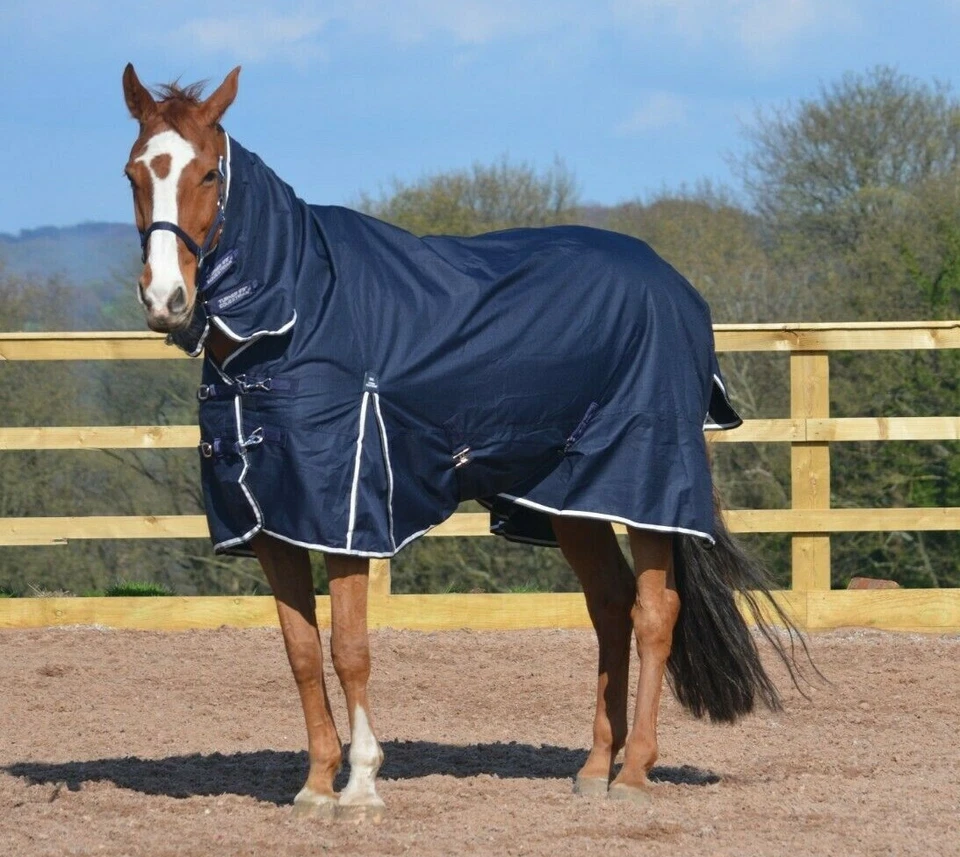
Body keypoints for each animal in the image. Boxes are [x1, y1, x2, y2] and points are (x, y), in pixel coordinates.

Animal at [121, 64, 807, 820]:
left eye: (210, 173)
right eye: (134, 172)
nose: (166, 299)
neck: (295, 314)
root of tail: (678, 289)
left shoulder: (346, 513)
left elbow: (349, 647)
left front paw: (361, 784)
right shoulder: (273, 520)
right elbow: (300, 651)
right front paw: (315, 784)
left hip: (646, 482)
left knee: (655, 611)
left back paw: (633, 774)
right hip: (572, 499)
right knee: (610, 607)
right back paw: (595, 767)